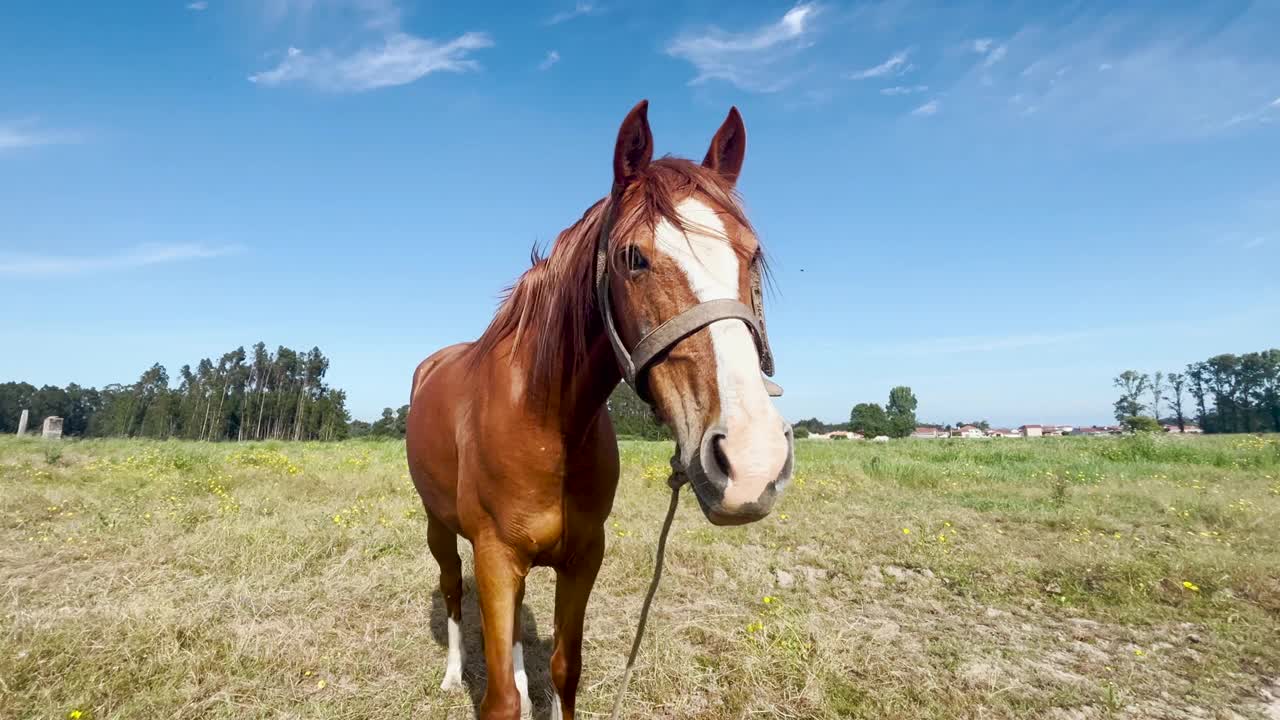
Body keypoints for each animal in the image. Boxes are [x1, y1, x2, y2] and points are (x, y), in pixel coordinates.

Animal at [404, 101, 793, 717]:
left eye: (752, 255)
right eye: (634, 257)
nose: (752, 463)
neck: (545, 420)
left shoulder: (584, 556)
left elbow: (566, 670)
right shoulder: (493, 557)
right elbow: (500, 698)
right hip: (438, 527)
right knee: (450, 591)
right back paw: (450, 674)